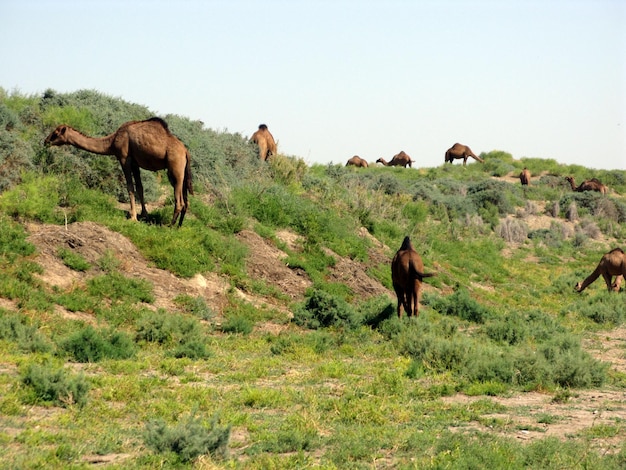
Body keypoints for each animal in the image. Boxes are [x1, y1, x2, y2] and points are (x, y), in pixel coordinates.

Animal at [44, 117, 191, 228]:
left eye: (56, 133)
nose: (46, 141)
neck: (112, 140)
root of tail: (185, 151)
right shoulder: (135, 162)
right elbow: (140, 187)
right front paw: (144, 215)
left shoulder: (124, 157)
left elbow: (130, 187)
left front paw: (133, 217)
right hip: (182, 171)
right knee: (185, 200)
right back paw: (179, 226)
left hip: (175, 167)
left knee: (179, 201)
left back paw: (169, 226)